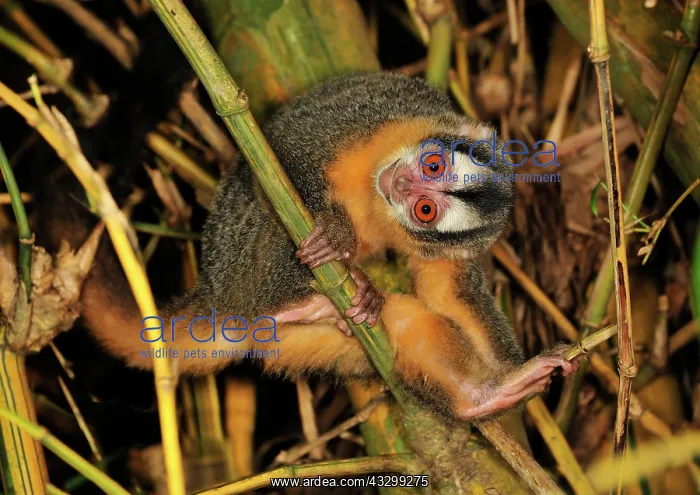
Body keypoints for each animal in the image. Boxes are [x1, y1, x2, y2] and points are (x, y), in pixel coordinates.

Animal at [39, 72, 579, 422]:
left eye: (426, 211)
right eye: (432, 167)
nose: (404, 185)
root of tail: (216, 299)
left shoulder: (451, 250)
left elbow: (450, 297)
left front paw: (509, 372)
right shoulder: (382, 105)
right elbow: (280, 149)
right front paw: (337, 230)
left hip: (311, 352)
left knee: (401, 321)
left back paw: (478, 395)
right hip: (240, 266)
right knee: (274, 218)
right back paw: (297, 299)